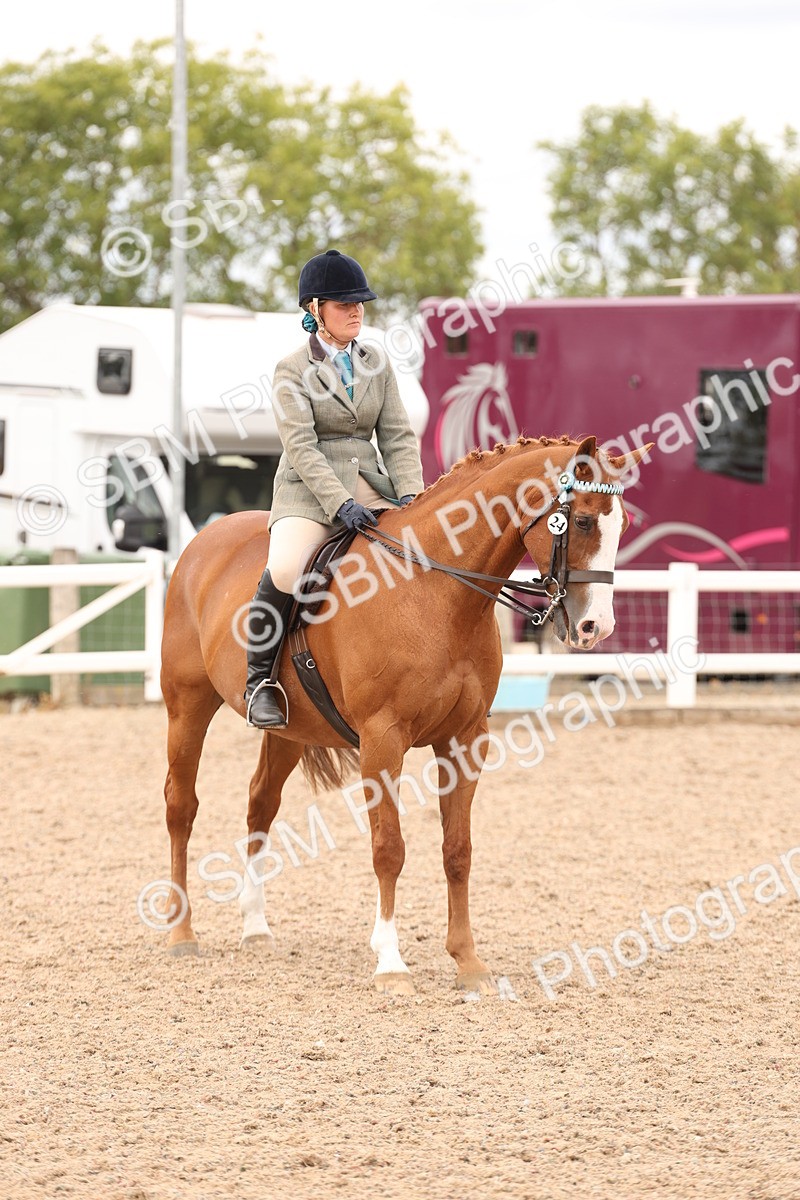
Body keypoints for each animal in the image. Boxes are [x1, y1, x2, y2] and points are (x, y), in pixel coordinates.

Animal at [159, 434, 651, 994]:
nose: (596, 628)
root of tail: (205, 538)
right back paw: (181, 933)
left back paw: (256, 927)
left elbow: (457, 850)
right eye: (584, 521)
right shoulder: (382, 739)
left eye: (623, 526)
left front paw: (468, 962)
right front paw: (391, 963)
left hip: (287, 730)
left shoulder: (466, 740)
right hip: (187, 706)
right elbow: (389, 849)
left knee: (260, 805)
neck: (435, 591)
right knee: (181, 807)